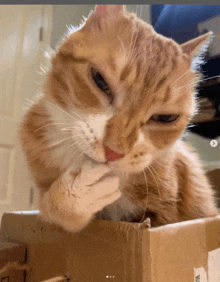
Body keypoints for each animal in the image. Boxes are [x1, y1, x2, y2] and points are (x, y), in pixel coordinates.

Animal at [18, 5, 218, 232]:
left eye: (165, 117)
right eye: (100, 80)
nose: (113, 152)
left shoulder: (165, 218)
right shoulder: (43, 199)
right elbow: (54, 206)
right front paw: (78, 192)